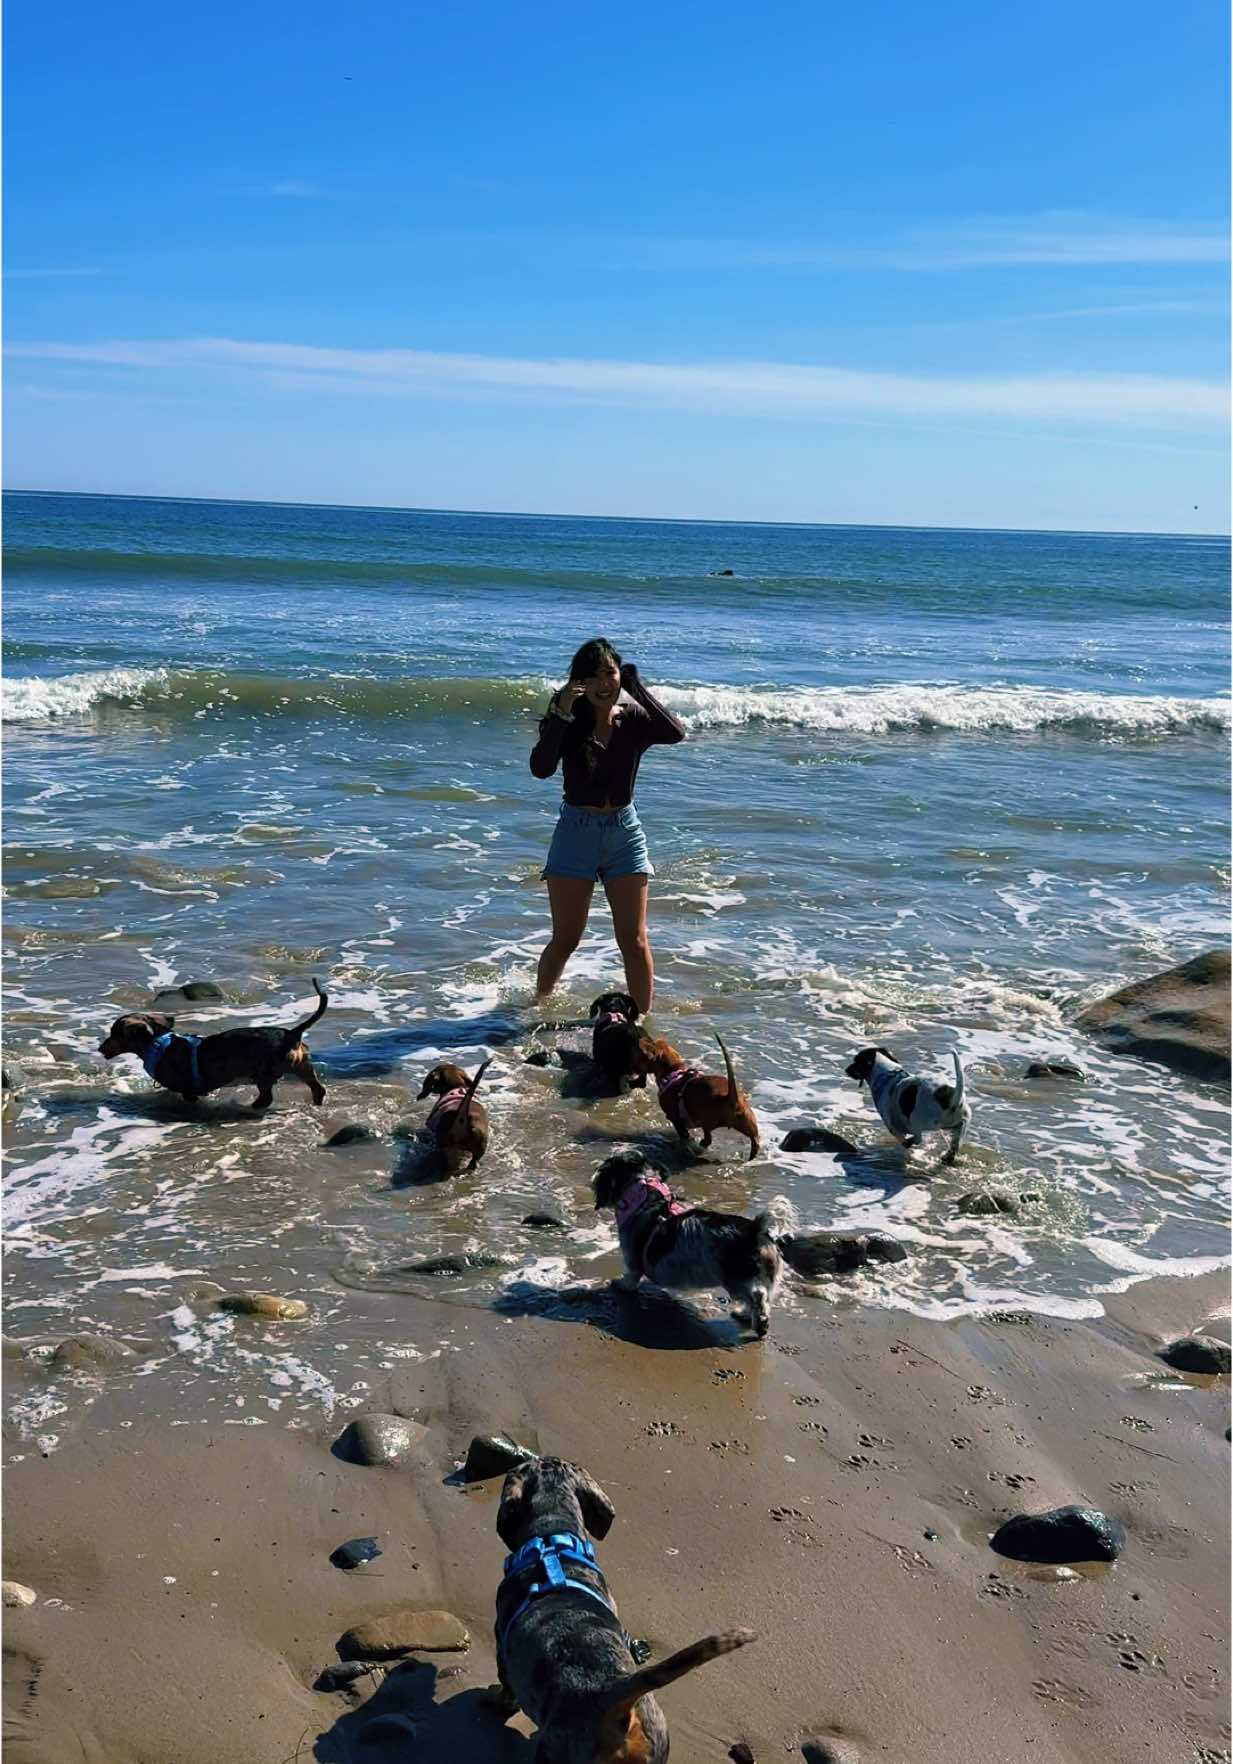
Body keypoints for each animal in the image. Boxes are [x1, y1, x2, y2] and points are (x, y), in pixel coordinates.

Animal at [97, 973, 328, 1107]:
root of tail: (291, 1034)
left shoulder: (188, 1091)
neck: (158, 1043)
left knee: (266, 1098)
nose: (99, 1049)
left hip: (266, 1072)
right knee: (318, 1088)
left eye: (114, 1033)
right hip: (303, 1066)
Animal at [592, 1143, 910, 1333]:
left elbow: (631, 1277)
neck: (646, 1195)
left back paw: (756, 1319)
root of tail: (757, 1229)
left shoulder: (632, 1259)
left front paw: (620, 1286)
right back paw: (745, 1315)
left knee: (758, 1298)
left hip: (736, 1278)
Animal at [635, 1030, 762, 1164]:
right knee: (755, 1139)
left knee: (708, 1138)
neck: (673, 1072)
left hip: (706, 1119)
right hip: (747, 1121)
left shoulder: (676, 1119)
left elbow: (684, 1134)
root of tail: (730, 1097)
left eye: (642, 1058)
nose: (634, 1068)